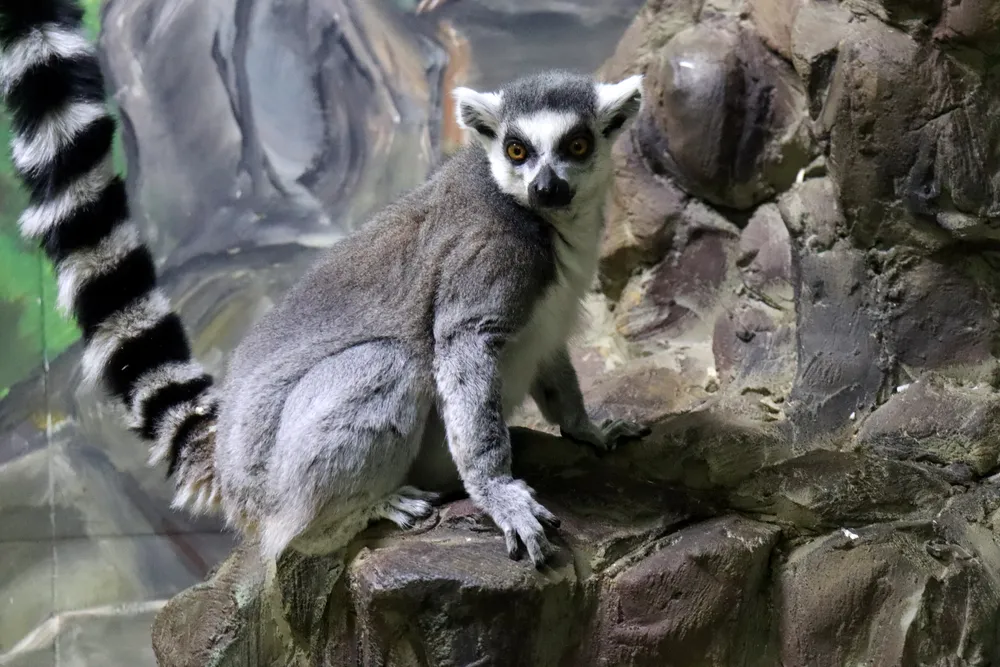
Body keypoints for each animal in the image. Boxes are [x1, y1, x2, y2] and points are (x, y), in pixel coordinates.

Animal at [0, 0, 649, 569]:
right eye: (517, 150)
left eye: (577, 145)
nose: (546, 186)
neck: (543, 223)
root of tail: (233, 474)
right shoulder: (491, 258)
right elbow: (464, 347)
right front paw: (498, 492)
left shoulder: (550, 303)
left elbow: (554, 362)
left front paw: (590, 429)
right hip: (285, 481)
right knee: (385, 370)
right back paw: (363, 507)